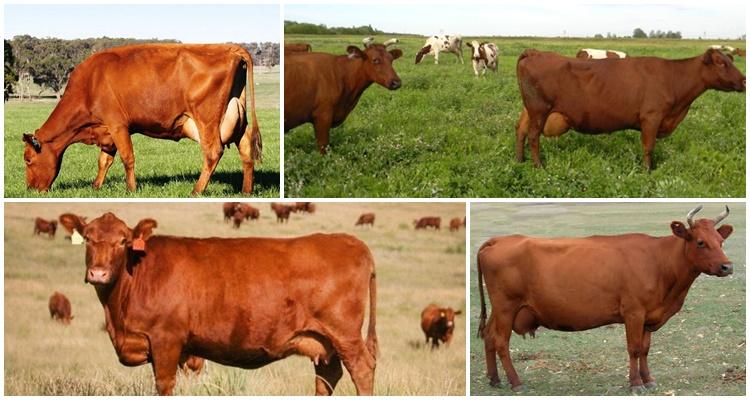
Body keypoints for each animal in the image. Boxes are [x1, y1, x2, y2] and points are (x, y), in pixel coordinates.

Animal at [22, 44, 262, 194]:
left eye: (28, 159)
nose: (31, 189)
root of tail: (229, 48)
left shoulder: (117, 125)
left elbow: (127, 157)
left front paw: (131, 189)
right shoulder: (107, 131)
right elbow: (104, 160)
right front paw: (96, 186)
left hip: (207, 120)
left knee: (213, 152)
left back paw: (196, 190)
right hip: (236, 118)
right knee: (246, 149)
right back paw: (246, 190)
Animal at [67, 212, 378, 395]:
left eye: (123, 241)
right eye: (88, 239)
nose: (98, 273)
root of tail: (351, 242)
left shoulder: (166, 341)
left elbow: (164, 385)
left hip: (344, 335)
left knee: (362, 369)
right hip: (324, 343)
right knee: (327, 376)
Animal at [476, 205, 734, 393]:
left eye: (721, 242)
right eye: (700, 242)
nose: (727, 266)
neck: (659, 262)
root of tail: (499, 240)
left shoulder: (648, 315)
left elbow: (645, 349)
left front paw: (648, 379)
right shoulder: (633, 312)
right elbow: (634, 349)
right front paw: (636, 384)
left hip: (500, 310)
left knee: (489, 336)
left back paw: (494, 379)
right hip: (506, 306)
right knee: (501, 342)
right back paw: (516, 382)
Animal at [515, 48, 745, 169]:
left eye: (730, 60)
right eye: (720, 62)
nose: (744, 80)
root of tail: (534, 52)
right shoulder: (651, 117)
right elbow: (648, 147)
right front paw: (647, 171)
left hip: (530, 109)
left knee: (520, 130)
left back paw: (519, 160)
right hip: (539, 109)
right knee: (533, 136)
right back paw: (538, 166)